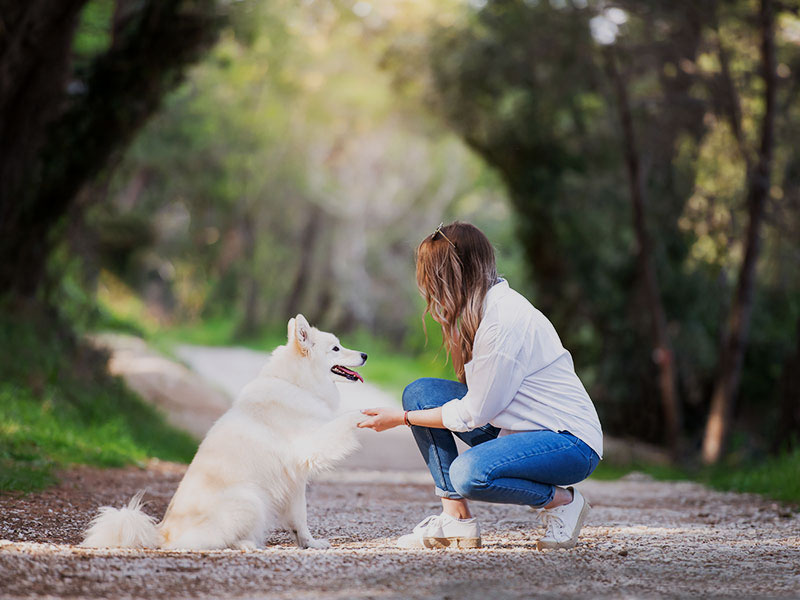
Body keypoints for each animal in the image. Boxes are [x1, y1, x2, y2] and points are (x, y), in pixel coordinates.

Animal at [82, 316, 366, 552]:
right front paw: (364, 414)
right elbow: (344, 421)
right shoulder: (312, 444)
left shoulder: (295, 483)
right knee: (215, 542)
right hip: (251, 500)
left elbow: (300, 520)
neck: (296, 384)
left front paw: (309, 544)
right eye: (336, 348)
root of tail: (161, 534)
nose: (364, 354)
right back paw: (247, 545)